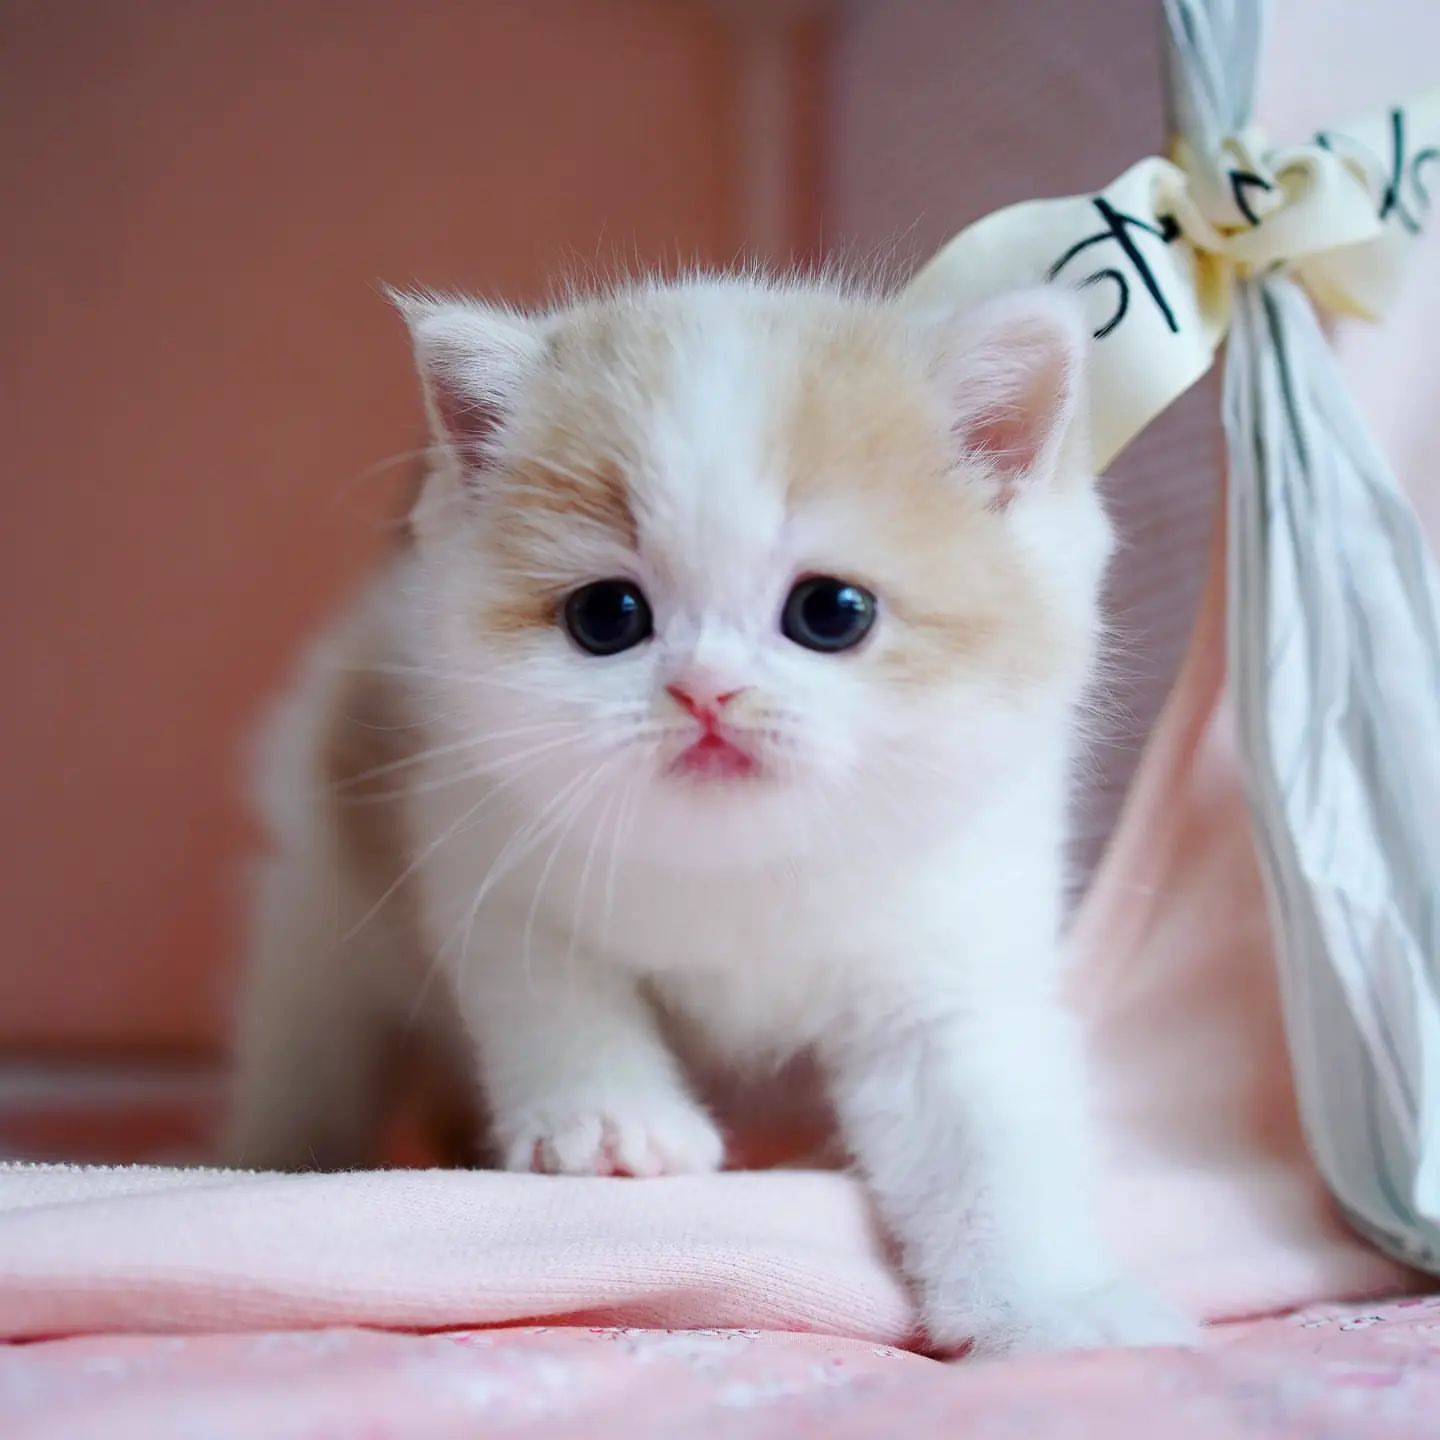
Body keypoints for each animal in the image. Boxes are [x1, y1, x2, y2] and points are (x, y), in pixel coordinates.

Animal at [221, 272, 1192, 1359]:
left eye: (832, 612)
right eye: (607, 617)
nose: (707, 692)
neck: (746, 866)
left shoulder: (956, 951)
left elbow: (987, 1132)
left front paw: (1056, 1302)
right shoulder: (479, 834)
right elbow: (551, 984)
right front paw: (610, 1122)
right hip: (321, 897)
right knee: (310, 1041)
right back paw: (280, 1156)